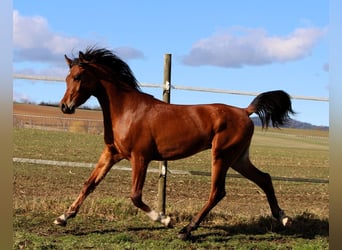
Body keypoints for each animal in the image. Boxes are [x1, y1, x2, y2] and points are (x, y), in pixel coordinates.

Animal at [54, 46, 296, 239]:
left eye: (78, 77)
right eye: (66, 78)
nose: (65, 107)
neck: (126, 110)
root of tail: (245, 111)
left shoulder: (140, 157)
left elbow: (135, 196)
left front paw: (165, 219)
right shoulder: (111, 154)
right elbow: (89, 184)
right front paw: (63, 217)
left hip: (221, 156)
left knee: (217, 192)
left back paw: (186, 230)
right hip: (238, 158)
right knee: (264, 178)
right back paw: (283, 218)